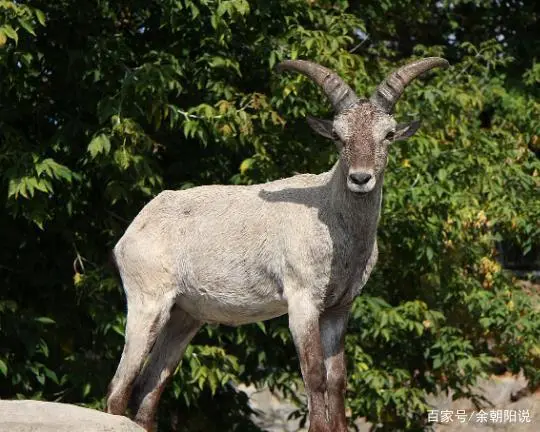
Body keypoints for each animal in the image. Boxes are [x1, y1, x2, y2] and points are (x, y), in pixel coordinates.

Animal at [105, 58, 448, 432]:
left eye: (387, 134)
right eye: (338, 136)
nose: (360, 178)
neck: (330, 218)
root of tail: (132, 231)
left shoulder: (339, 307)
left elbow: (337, 378)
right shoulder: (302, 299)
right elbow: (314, 374)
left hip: (184, 315)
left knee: (148, 391)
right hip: (148, 300)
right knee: (118, 390)